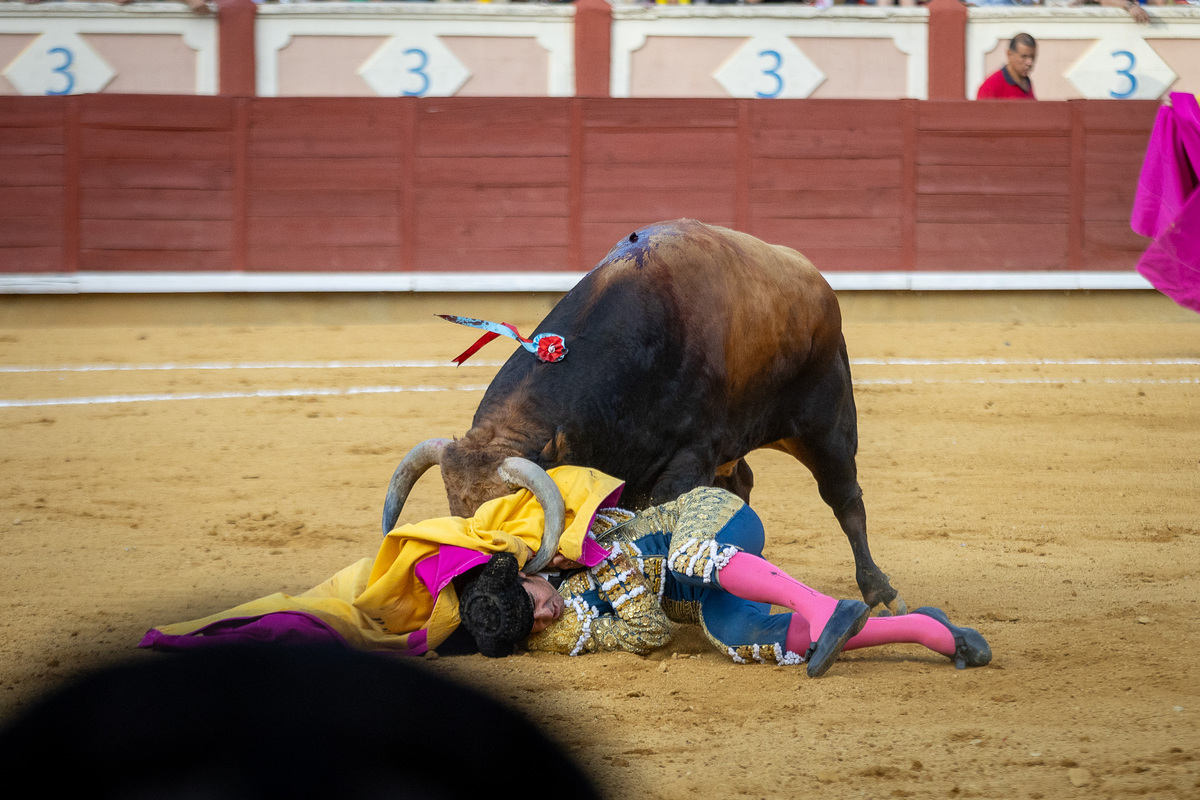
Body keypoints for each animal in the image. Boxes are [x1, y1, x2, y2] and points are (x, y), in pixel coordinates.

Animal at [384, 219, 902, 614]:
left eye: (513, 524)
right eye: (456, 512)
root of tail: (814, 279)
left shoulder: (688, 459)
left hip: (827, 422)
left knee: (844, 498)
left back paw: (880, 590)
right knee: (742, 484)